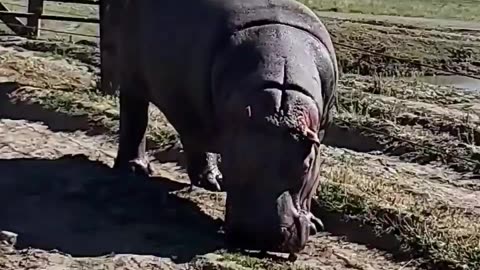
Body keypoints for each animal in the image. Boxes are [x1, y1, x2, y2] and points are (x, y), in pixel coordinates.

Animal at [109, 0, 338, 255]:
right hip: (133, 79)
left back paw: (212, 182)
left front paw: (316, 224)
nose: (263, 235)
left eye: (307, 165)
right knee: (135, 116)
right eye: (234, 160)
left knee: (192, 137)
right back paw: (136, 169)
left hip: (190, 104)